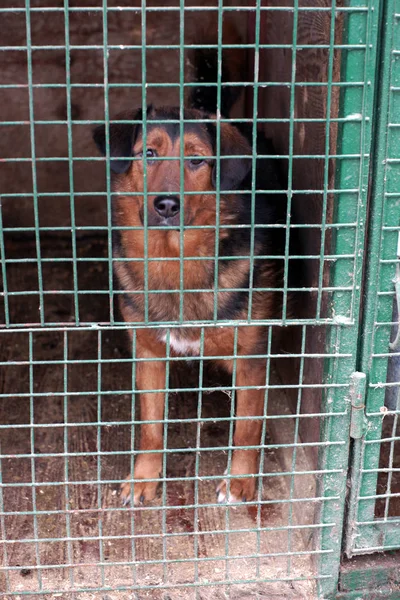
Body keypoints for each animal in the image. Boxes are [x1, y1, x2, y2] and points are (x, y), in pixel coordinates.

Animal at [93, 37, 294, 506]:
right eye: (147, 154)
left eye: (197, 162)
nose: (167, 205)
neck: (175, 260)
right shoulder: (147, 350)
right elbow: (150, 427)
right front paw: (144, 477)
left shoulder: (251, 357)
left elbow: (247, 428)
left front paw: (239, 482)